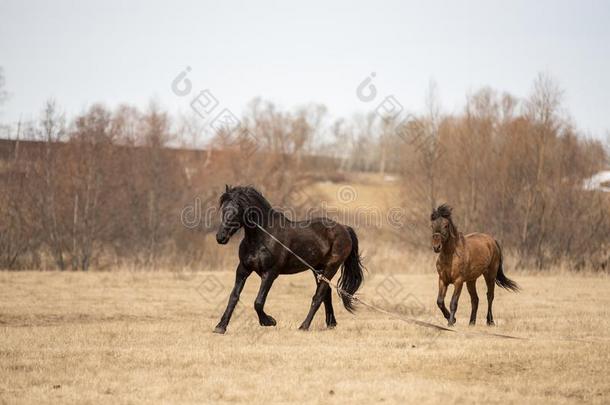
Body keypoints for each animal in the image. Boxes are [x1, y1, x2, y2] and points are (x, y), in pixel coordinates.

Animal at [211, 185, 364, 332]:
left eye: (237, 211)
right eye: (223, 209)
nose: (220, 237)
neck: (262, 238)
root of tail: (344, 228)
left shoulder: (270, 273)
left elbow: (258, 302)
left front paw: (269, 321)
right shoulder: (243, 269)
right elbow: (233, 297)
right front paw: (220, 327)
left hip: (331, 267)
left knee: (318, 296)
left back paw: (304, 326)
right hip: (318, 269)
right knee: (326, 294)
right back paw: (330, 324)